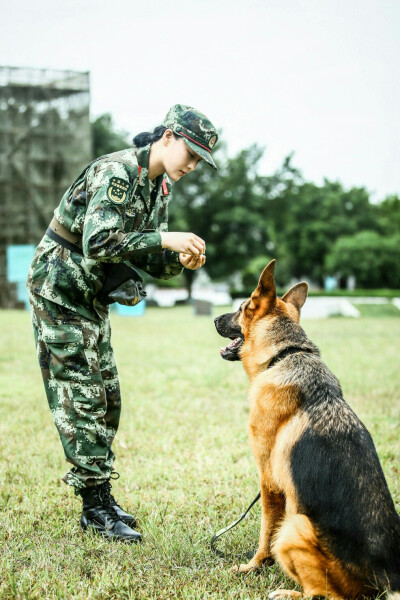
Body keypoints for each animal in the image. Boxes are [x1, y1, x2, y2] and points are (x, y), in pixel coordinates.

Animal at [214, 260, 400, 596]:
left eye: (242, 307)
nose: (213, 318)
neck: (284, 354)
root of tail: (386, 576)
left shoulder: (269, 483)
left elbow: (265, 534)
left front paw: (253, 566)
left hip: (294, 526)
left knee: (324, 594)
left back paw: (288, 593)